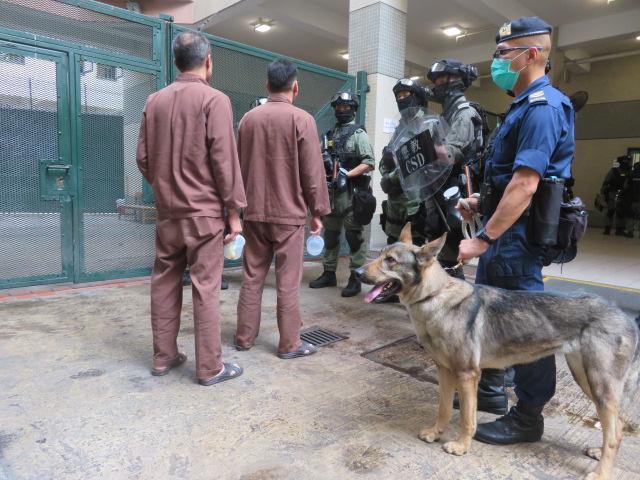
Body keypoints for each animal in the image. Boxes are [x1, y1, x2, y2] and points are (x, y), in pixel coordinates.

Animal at [358, 225, 636, 480]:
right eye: (380, 255)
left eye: (391, 261)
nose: (357, 272)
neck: (434, 296)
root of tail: (627, 318)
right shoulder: (445, 372)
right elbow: (444, 409)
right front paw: (436, 433)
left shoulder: (467, 374)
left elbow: (466, 417)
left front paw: (461, 446)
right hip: (586, 379)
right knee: (617, 426)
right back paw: (599, 453)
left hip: (599, 386)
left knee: (614, 434)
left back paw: (601, 473)